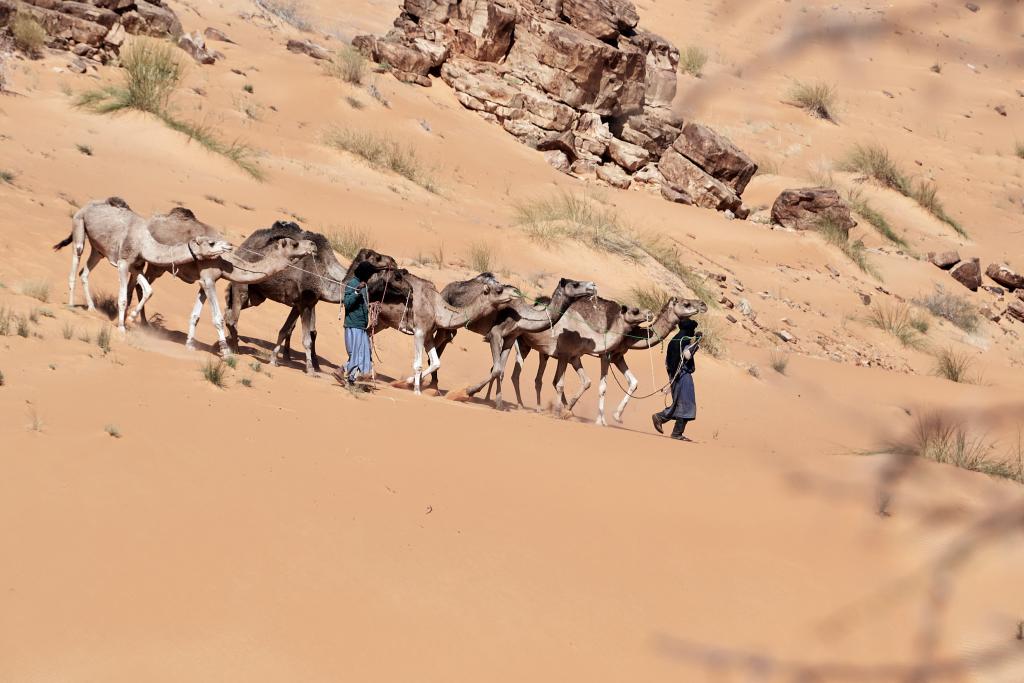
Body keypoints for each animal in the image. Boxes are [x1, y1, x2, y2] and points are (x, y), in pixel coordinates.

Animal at [53, 197, 232, 333]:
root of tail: (86, 205)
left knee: (85, 272)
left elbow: (148, 290)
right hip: (79, 224)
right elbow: (123, 297)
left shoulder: (136, 266)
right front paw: (121, 327)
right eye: (211, 243)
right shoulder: (123, 263)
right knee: (77, 257)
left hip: (98, 250)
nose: (229, 245)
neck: (144, 242)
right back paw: (71, 304)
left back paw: (91, 308)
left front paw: (131, 318)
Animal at [224, 222, 395, 374]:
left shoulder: (301, 304)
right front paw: (311, 369)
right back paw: (235, 349)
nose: (393, 261)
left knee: (229, 312)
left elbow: (285, 330)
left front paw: (273, 360)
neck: (323, 277)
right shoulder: (305, 303)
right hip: (242, 284)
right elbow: (306, 339)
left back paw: (230, 342)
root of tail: (241, 248)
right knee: (232, 317)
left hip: (256, 295)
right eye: (378, 257)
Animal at [368, 270, 520, 393]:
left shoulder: (428, 335)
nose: (516, 292)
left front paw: (407, 382)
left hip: (381, 321)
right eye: (499, 290)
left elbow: (436, 363)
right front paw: (417, 391)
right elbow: (418, 365)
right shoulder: (419, 331)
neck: (437, 309)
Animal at [428, 274, 598, 409]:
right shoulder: (495, 334)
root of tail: (446, 288)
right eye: (575, 284)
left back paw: (433, 385)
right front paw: (467, 392)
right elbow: (496, 369)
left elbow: (500, 371)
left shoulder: (510, 338)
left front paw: (499, 404)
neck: (521, 316)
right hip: (444, 317)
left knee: (441, 345)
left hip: (451, 327)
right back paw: (432, 386)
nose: (593, 285)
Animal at [509, 299, 651, 421]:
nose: (650, 313)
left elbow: (586, 382)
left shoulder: (575, 357)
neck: (585, 335)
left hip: (526, 344)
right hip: (519, 341)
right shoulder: (564, 355)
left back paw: (531, 407)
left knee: (520, 375)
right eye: (635, 311)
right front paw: (558, 412)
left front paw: (567, 410)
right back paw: (520, 405)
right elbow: (560, 384)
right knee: (516, 373)